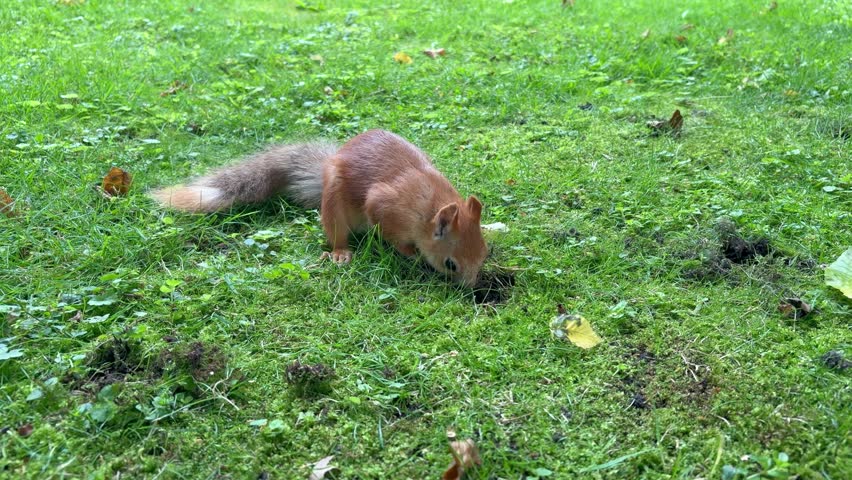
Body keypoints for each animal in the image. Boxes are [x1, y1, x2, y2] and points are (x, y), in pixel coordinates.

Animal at [150, 129, 488, 286]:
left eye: (485, 254)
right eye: (450, 264)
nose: (471, 288)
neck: (428, 206)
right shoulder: (385, 207)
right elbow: (391, 234)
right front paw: (410, 253)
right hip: (335, 207)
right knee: (337, 234)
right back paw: (340, 253)